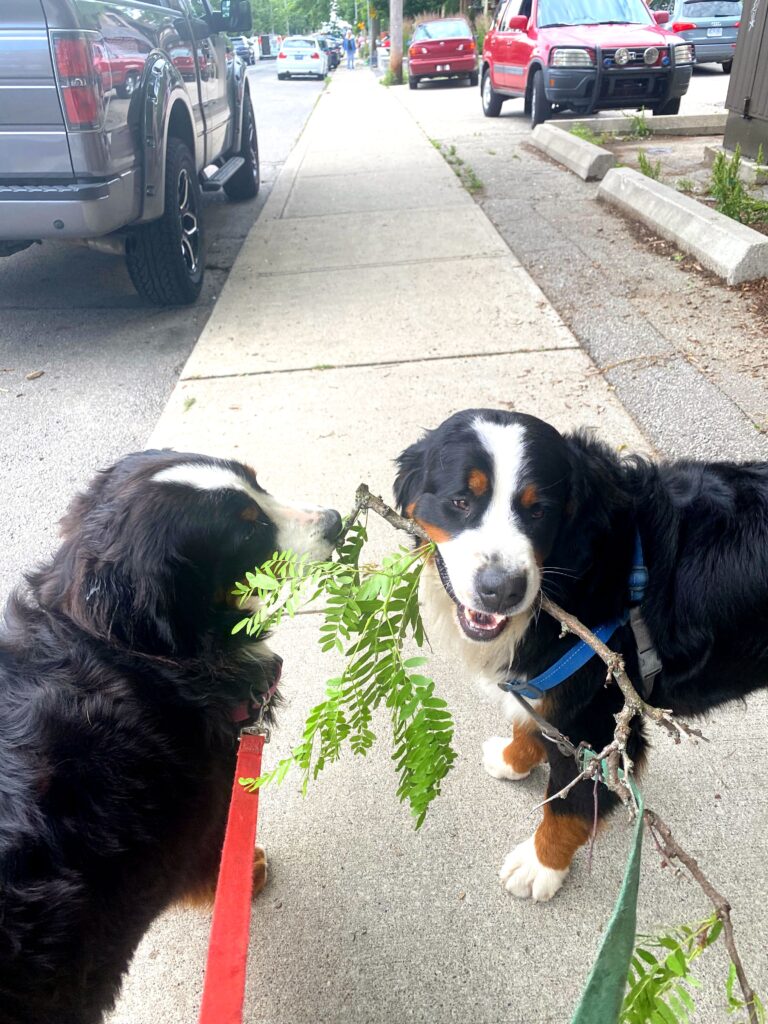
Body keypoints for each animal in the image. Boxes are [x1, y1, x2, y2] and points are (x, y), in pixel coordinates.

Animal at [0, 454, 339, 1024]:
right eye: (247, 530)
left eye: (257, 481)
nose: (335, 520)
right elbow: (215, 861)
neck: (134, 652)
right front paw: (246, 873)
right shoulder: (205, 812)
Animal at [397, 407, 768, 905]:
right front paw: (513, 758)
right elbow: (533, 724)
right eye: (460, 501)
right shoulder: (552, 690)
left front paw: (540, 865)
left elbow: (569, 805)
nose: (502, 590)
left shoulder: (599, 721)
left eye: (539, 511)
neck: (586, 570)